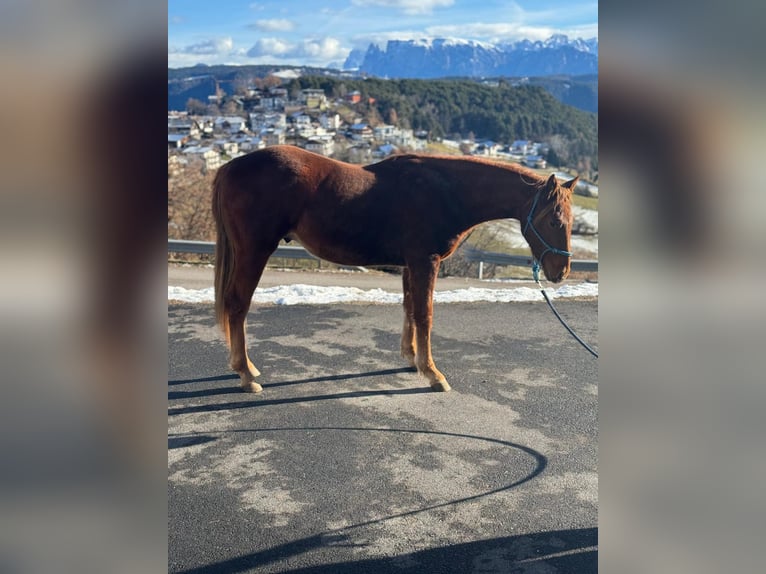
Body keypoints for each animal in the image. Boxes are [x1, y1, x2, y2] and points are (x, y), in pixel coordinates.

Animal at [213, 146, 580, 394]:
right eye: (554, 220)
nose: (561, 272)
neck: (447, 191)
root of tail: (232, 166)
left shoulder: (410, 265)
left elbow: (409, 309)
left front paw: (412, 357)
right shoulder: (425, 261)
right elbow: (425, 314)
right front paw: (433, 373)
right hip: (254, 251)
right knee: (237, 304)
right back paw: (246, 374)